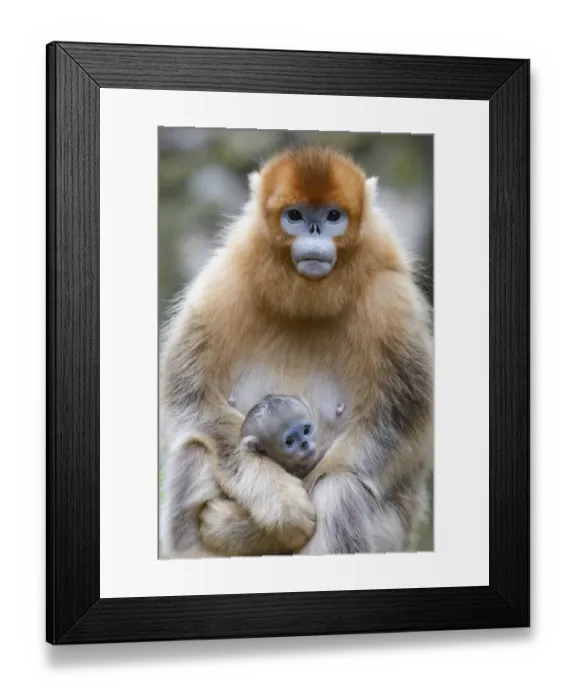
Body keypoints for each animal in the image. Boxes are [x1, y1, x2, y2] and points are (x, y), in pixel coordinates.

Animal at [159, 144, 433, 559]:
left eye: (333, 216)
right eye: (296, 216)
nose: (314, 230)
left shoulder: (391, 297)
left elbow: (401, 423)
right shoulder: (224, 281)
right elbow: (191, 401)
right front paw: (280, 506)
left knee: (340, 488)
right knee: (195, 449)